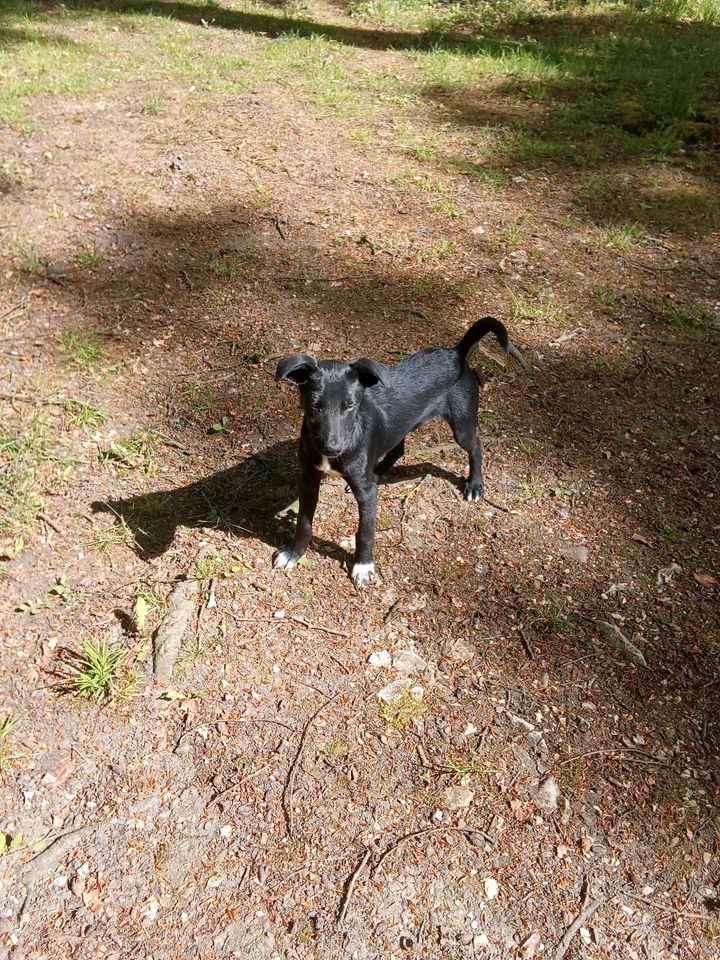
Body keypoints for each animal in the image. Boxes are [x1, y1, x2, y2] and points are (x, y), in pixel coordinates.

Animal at [272, 318, 520, 584]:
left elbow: (366, 531)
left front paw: (363, 565)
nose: (332, 447)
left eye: (350, 406)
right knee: (398, 448)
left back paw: (475, 485)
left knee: (476, 446)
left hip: (462, 425)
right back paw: (379, 470)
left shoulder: (367, 494)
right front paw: (293, 553)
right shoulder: (309, 476)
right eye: (314, 406)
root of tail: (457, 354)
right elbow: (304, 522)